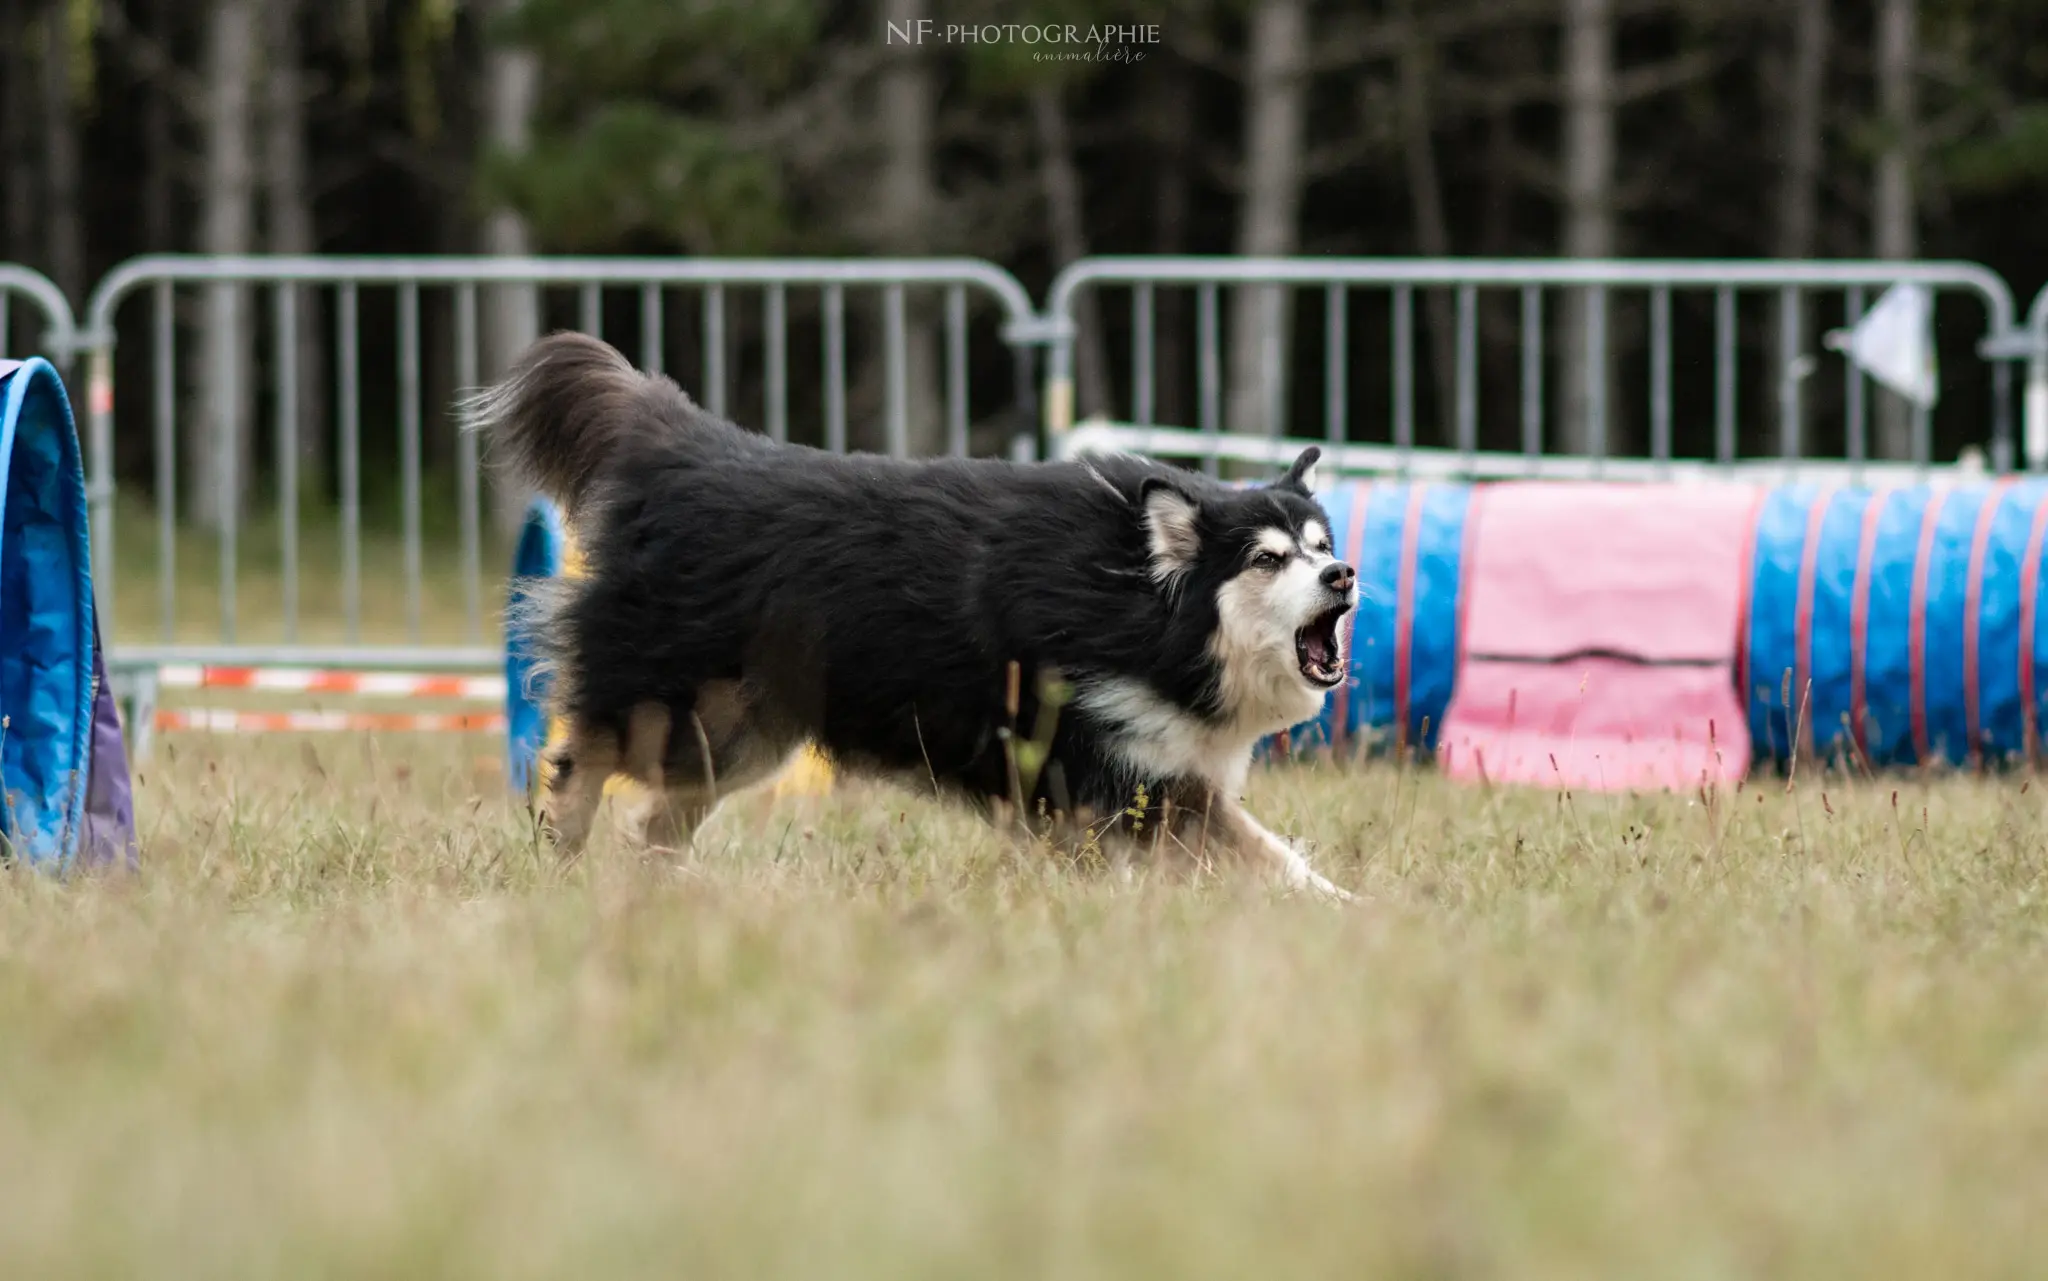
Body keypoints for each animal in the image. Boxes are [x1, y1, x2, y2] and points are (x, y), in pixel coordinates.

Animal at [466, 329, 1359, 893]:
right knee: (582, 754)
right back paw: (561, 852)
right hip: (680, 701)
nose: (1346, 574)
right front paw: (1348, 911)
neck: (1139, 603)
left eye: (1321, 544)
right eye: (1267, 559)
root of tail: (688, 447)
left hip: (744, 733)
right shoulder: (1121, 773)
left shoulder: (1149, 775)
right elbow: (1268, 857)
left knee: (659, 821)